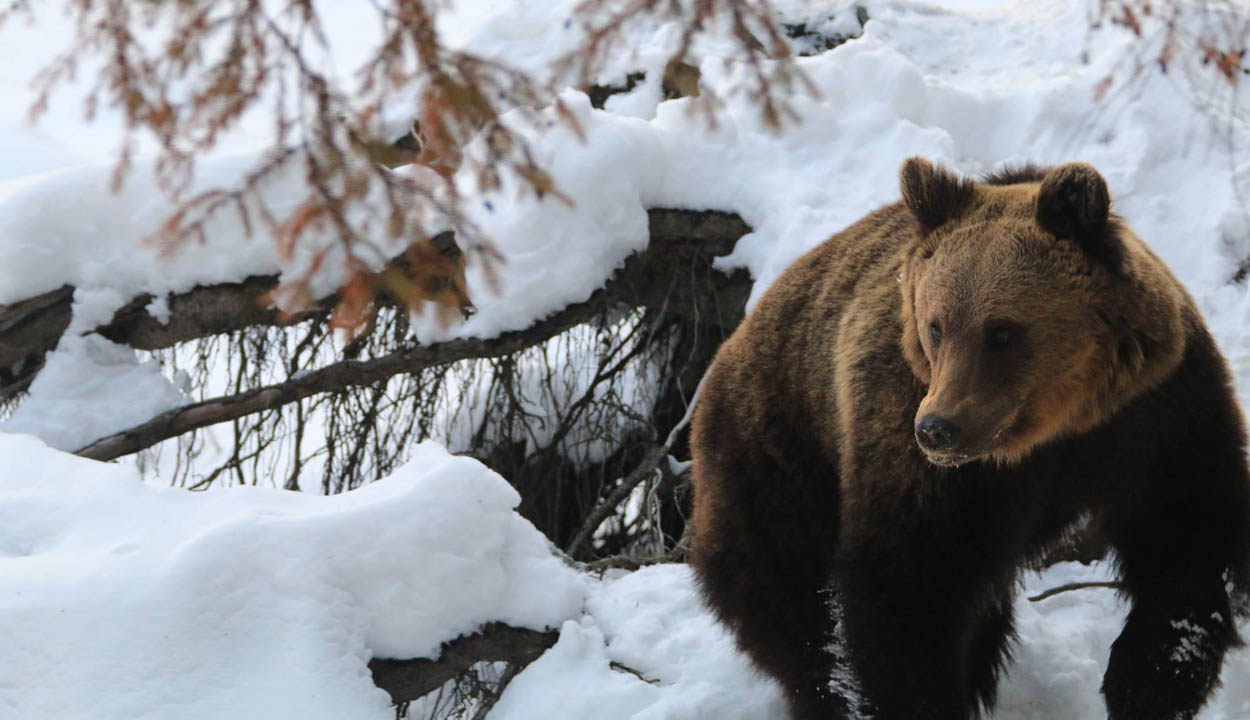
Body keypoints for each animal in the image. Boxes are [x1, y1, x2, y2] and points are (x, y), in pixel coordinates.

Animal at [690, 158, 1250, 720]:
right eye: (935, 325)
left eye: (1001, 330)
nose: (938, 428)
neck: (1053, 430)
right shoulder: (922, 457)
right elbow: (907, 586)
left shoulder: (1154, 412)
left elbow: (1186, 539)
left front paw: (1147, 681)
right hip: (779, 456)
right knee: (796, 608)